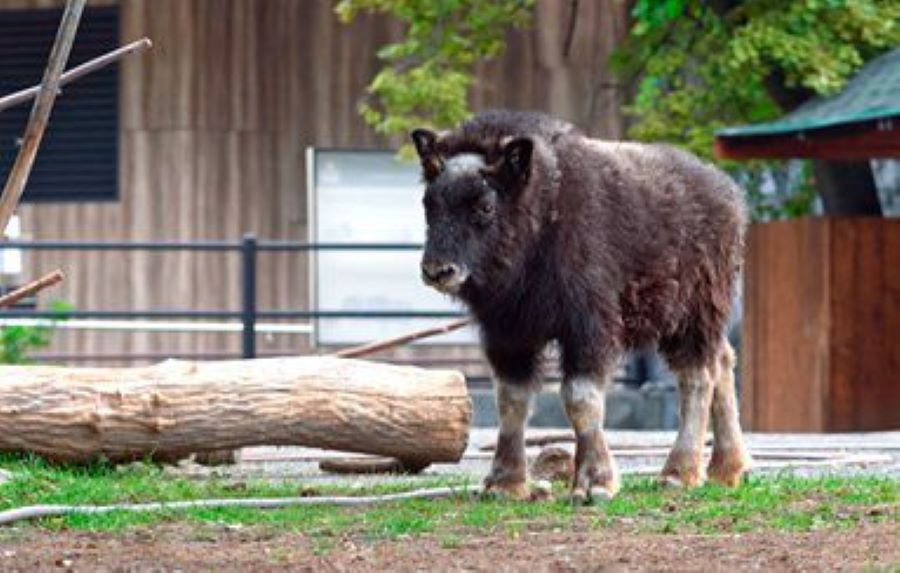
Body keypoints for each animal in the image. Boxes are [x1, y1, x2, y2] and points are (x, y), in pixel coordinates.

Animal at [414, 110, 752, 500]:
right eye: (429, 203)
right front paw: (504, 483)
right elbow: (511, 401)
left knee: (697, 377)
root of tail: (728, 192)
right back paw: (728, 468)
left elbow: (580, 398)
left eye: (485, 206)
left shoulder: (588, 327)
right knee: (722, 361)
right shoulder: (508, 333)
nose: (437, 270)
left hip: (694, 314)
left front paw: (595, 483)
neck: (543, 216)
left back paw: (678, 473)